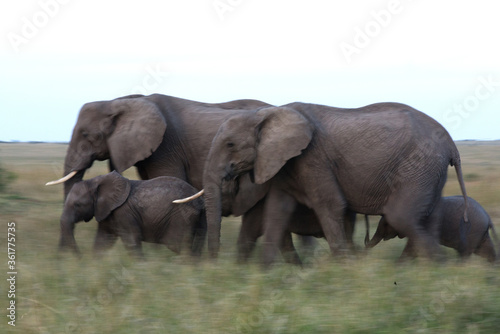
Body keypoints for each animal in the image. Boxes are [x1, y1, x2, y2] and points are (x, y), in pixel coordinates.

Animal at [59, 171, 206, 258]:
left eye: (77, 205)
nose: (80, 258)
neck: (95, 182)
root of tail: (199, 199)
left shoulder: (123, 213)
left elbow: (131, 241)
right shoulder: (106, 213)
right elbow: (102, 242)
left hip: (183, 215)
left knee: (177, 245)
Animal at [182, 102, 470, 266]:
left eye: (230, 144)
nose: (213, 267)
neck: (266, 113)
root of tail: (451, 143)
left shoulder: (312, 157)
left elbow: (330, 205)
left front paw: (344, 274)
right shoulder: (284, 164)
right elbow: (276, 212)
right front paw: (264, 279)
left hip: (419, 166)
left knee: (402, 217)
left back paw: (437, 270)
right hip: (429, 173)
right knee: (426, 221)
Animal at [366, 194, 498, 262]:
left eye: (386, 224)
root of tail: (487, 216)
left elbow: (413, 246)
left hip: (473, 231)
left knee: (464, 254)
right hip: (479, 233)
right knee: (486, 251)